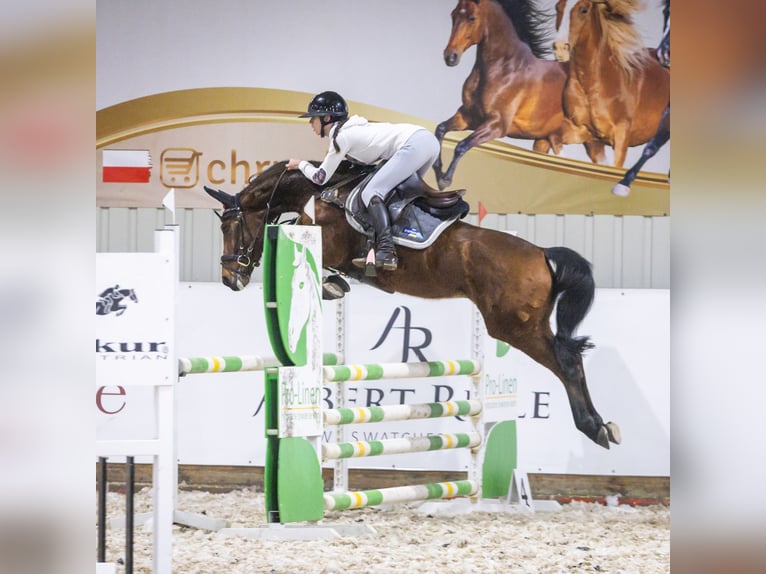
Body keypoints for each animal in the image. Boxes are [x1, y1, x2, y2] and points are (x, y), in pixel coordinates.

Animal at [204, 160, 621, 449]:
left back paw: (594, 427)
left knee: (567, 361)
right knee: (571, 356)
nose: (229, 279)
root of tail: (542, 254)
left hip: (515, 327)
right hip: (525, 325)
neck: (319, 192)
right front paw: (336, 284)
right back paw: (605, 425)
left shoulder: (326, 238)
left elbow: (307, 244)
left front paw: (333, 283)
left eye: (227, 227)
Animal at [433, 0, 606, 190]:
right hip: (546, 140)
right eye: (454, 14)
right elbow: (440, 129)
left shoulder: (497, 125)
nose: (450, 57)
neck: (505, 69)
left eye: (472, 18)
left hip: (593, 142)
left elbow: (462, 145)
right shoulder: (468, 117)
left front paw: (445, 180)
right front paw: (437, 170)